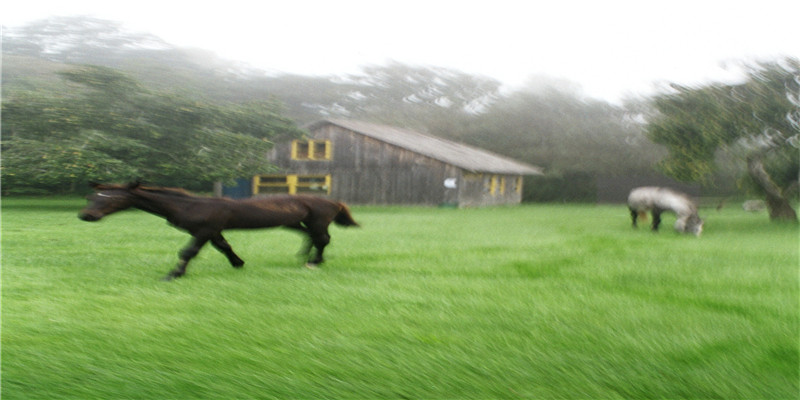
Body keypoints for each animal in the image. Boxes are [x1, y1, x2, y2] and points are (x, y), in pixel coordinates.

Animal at [79, 182, 360, 280]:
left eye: (114, 199)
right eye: (92, 197)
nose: (86, 216)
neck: (189, 204)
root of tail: (335, 201)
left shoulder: (204, 230)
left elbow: (188, 251)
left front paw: (173, 274)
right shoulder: (213, 230)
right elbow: (224, 247)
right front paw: (238, 263)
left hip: (318, 220)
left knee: (322, 238)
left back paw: (314, 262)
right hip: (294, 222)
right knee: (311, 237)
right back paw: (305, 257)